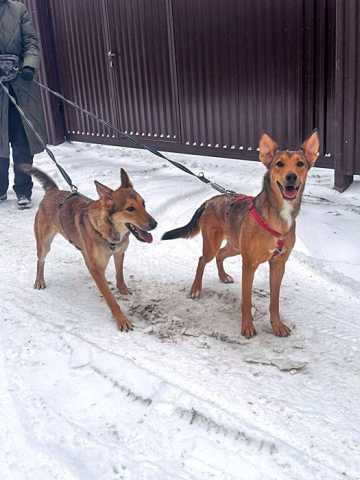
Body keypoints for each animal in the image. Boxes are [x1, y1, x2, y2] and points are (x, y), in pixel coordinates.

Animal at [22, 165, 156, 330]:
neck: (109, 231)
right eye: (130, 209)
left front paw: (123, 289)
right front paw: (121, 319)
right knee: (40, 261)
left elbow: (119, 274)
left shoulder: (119, 253)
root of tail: (53, 191)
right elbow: (111, 299)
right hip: (44, 244)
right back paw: (39, 280)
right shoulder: (97, 269)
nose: (155, 224)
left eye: (143, 204)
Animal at [162, 132, 320, 338]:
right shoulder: (249, 264)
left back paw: (223, 276)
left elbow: (274, 301)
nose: (291, 177)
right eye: (279, 164)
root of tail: (210, 200)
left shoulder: (278, 264)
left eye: (300, 163)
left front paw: (277, 325)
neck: (278, 216)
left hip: (235, 246)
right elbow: (246, 299)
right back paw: (196, 289)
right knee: (202, 259)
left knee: (220, 255)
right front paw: (247, 327)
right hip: (213, 244)